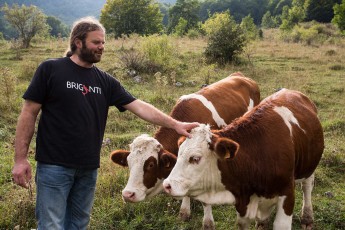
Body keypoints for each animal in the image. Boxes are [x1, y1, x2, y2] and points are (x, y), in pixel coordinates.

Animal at [111, 73, 260, 229]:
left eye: (151, 164)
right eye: (128, 163)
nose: (128, 194)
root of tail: (240, 75)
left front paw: (208, 223)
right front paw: (184, 212)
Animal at [163, 88, 324, 230]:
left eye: (195, 158)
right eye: (178, 154)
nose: (167, 185)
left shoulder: (287, 195)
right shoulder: (243, 205)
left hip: (309, 166)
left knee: (307, 186)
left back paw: (307, 217)